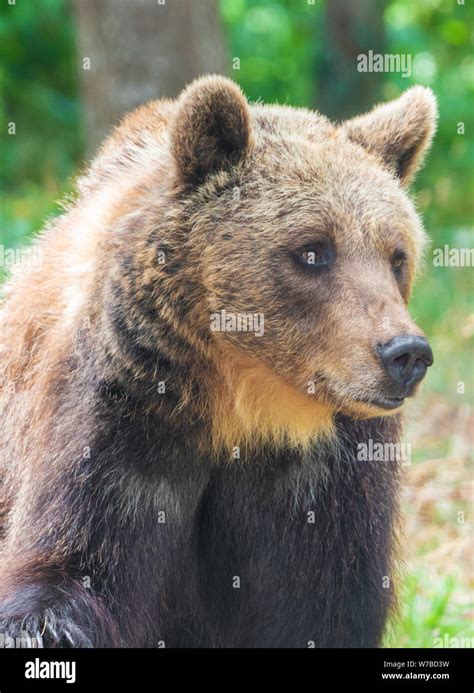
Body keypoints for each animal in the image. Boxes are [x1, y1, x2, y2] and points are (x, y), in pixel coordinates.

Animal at [0, 75, 436, 648]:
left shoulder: (327, 477)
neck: (242, 405)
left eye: (397, 255)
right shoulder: (121, 421)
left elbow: (323, 606)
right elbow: (70, 574)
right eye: (313, 249)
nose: (405, 353)